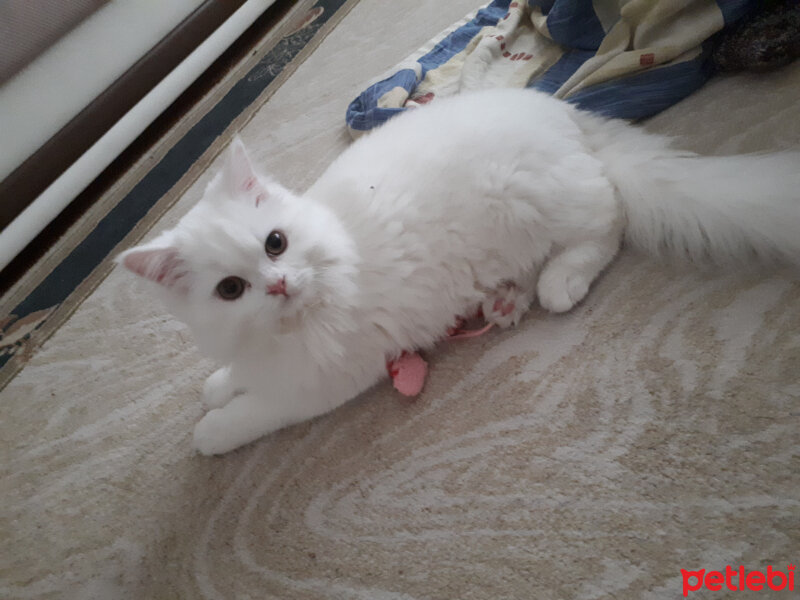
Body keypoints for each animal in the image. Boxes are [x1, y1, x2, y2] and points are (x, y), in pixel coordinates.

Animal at [119, 88, 800, 454]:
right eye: (231, 290)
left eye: (276, 243)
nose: (281, 283)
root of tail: (559, 107)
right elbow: (235, 377)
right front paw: (218, 385)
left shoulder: (322, 383)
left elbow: (256, 411)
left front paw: (213, 429)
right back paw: (504, 302)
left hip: (529, 197)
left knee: (608, 217)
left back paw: (555, 285)